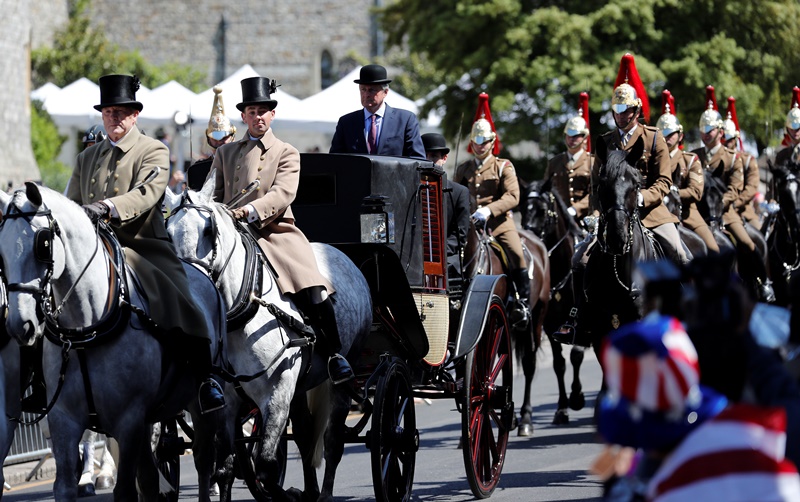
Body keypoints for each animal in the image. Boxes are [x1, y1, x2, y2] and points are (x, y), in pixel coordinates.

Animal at [520, 178, 592, 426]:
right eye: (521, 208)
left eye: (543, 210)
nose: (528, 240)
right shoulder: (551, 325)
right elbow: (559, 364)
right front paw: (562, 408)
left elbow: (576, 355)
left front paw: (577, 396)